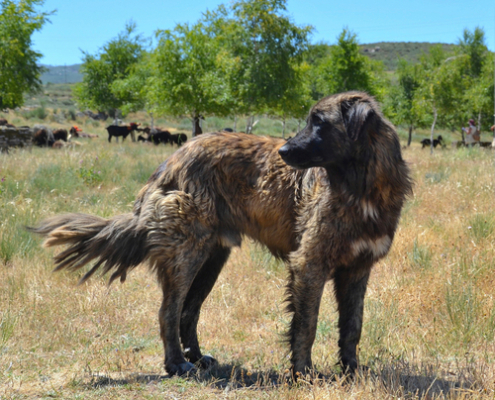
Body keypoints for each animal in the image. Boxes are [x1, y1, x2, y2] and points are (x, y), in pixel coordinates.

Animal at [29, 92, 412, 380]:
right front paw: (302, 373)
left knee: (188, 311)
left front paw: (352, 371)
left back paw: (197, 358)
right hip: (187, 254)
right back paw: (177, 364)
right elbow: (307, 324)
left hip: (212, 257)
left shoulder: (358, 269)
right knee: (169, 311)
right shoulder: (309, 264)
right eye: (310, 120)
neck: (362, 186)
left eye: (320, 122)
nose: (283, 152)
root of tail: (170, 162)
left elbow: (353, 326)